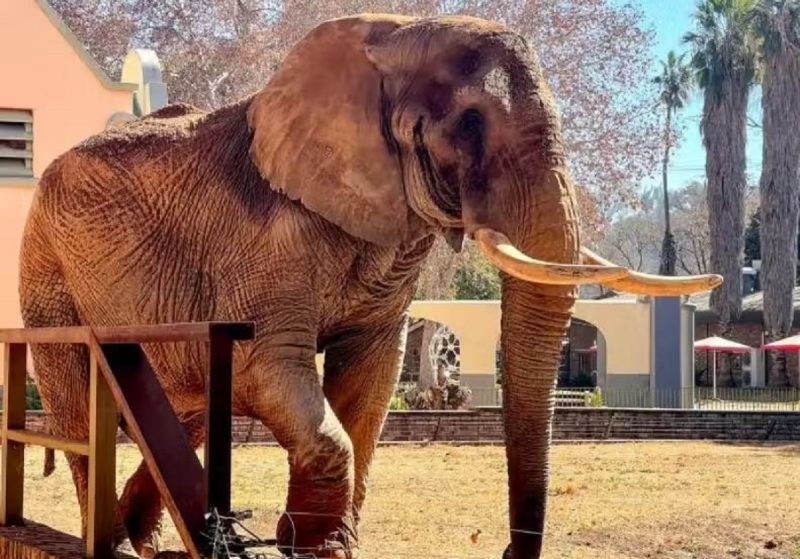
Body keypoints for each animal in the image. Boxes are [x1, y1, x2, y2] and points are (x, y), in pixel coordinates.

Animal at [18, 14, 720, 559]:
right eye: (469, 124)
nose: (504, 550)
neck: (390, 36)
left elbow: (370, 378)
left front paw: (322, 547)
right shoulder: (265, 240)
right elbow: (264, 365)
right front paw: (309, 545)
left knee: (176, 407)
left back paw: (144, 542)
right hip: (46, 270)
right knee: (83, 409)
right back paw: (106, 539)